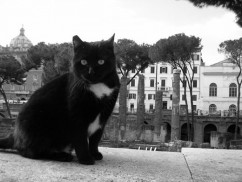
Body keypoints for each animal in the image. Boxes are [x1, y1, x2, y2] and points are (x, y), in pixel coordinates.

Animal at [0, 34, 120, 165]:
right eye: (83, 62)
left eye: (101, 61)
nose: (91, 72)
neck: (98, 86)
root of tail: (14, 134)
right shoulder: (77, 116)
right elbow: (81, 139)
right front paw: (85, 158)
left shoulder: (103, 117)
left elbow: (96, 139)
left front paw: (94, 153)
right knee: (30, 152)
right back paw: (62, 156)